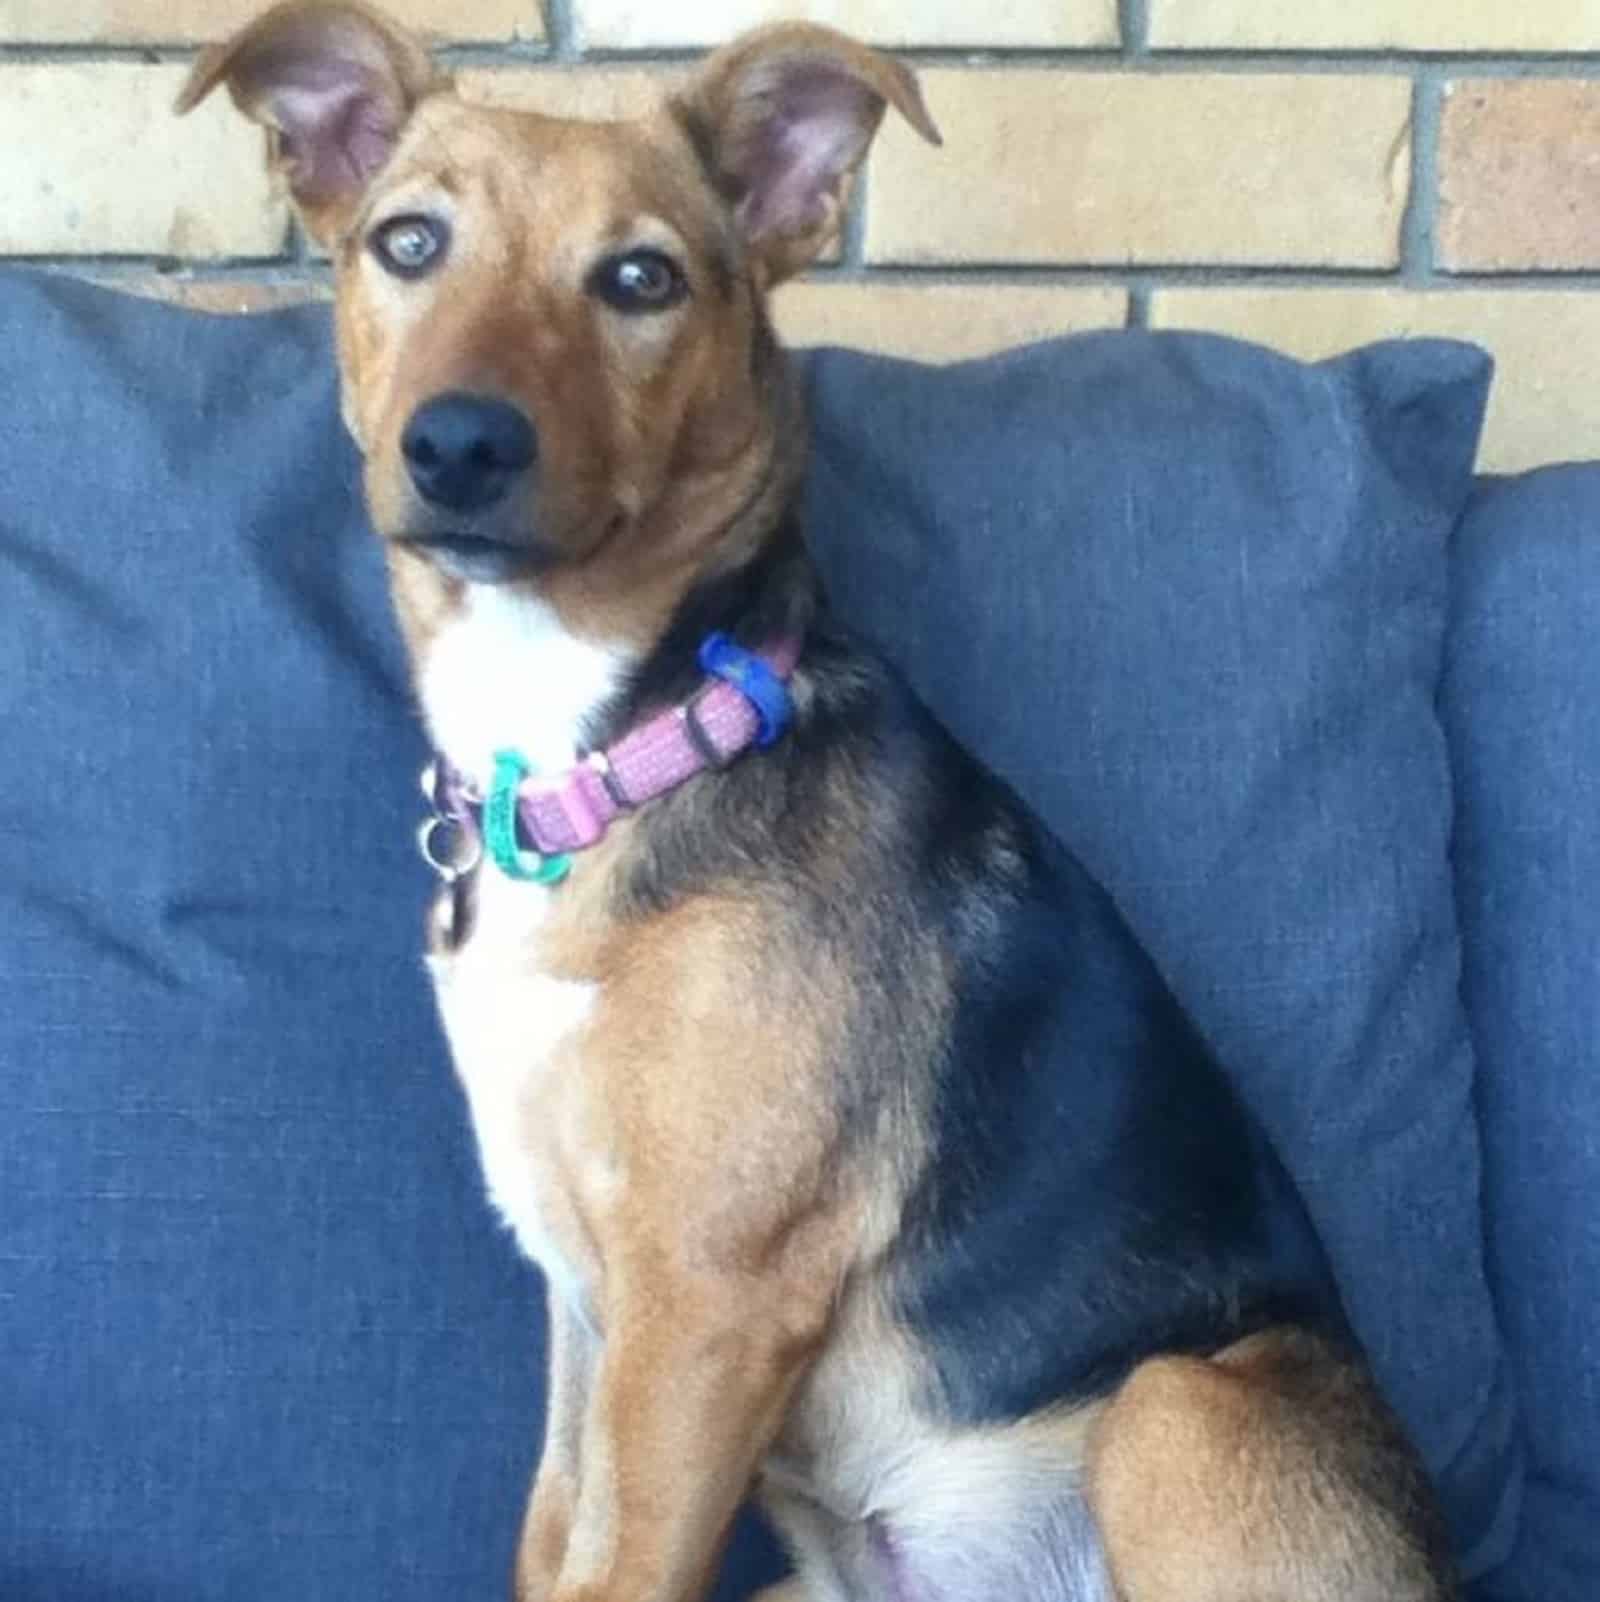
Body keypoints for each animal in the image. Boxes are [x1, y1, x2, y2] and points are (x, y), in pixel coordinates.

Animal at [178, 6, 1467, 1595]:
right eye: (408, 243)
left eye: (641, 279)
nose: (460, 445)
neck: (619, 745)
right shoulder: (586, 1303)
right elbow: (560, 1545)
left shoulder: (707, 1299)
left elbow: (628, 1563)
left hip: (1172, 1409)